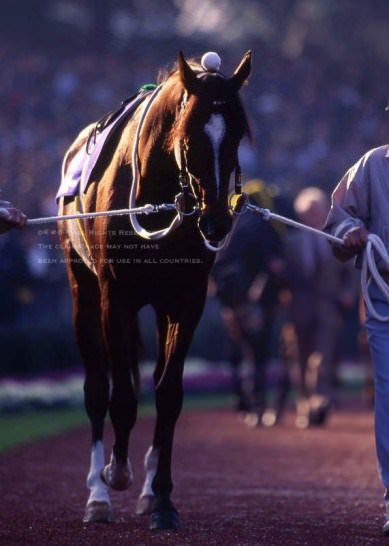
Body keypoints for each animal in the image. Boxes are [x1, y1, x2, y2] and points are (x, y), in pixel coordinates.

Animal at [58, 50, 252, 528]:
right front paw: (115, 474)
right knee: (96, 388)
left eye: (237, 134)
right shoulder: (115, 298)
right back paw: (98, 494)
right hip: (82, 291)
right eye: (189, 136)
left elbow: (169, 394)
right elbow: (121, 397)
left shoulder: (187, 301)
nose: (216, 222)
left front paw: (161, 498)